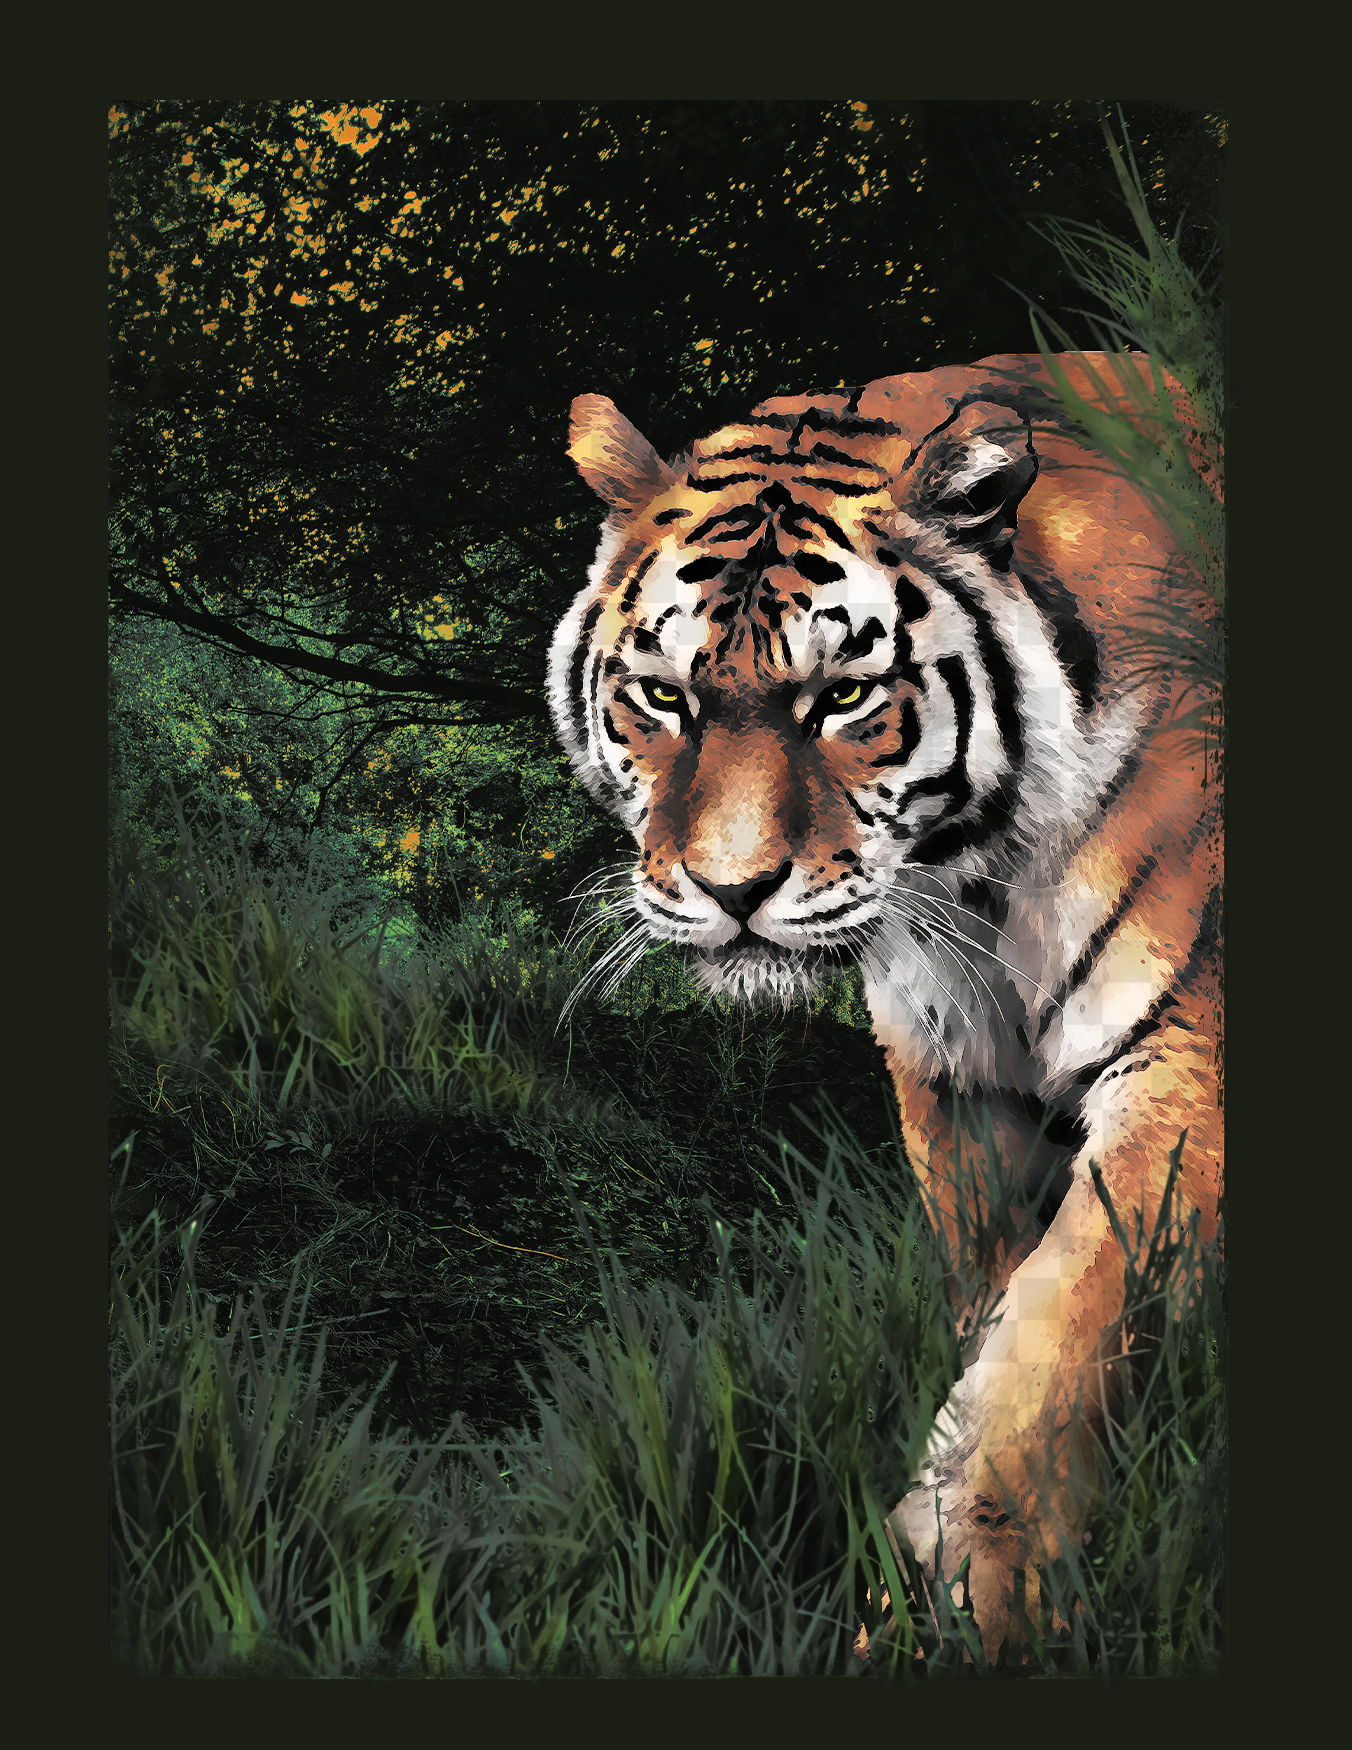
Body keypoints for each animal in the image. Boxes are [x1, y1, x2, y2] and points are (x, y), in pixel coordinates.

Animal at [546, 354, 1223, 1663]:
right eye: (660, 696)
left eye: (844, 696)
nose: (732, 889)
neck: (977, 879)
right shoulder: (955, 1075)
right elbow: (991, 1290)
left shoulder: (1185, 1058)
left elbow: (1059, 1329)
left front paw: (962, 1604)